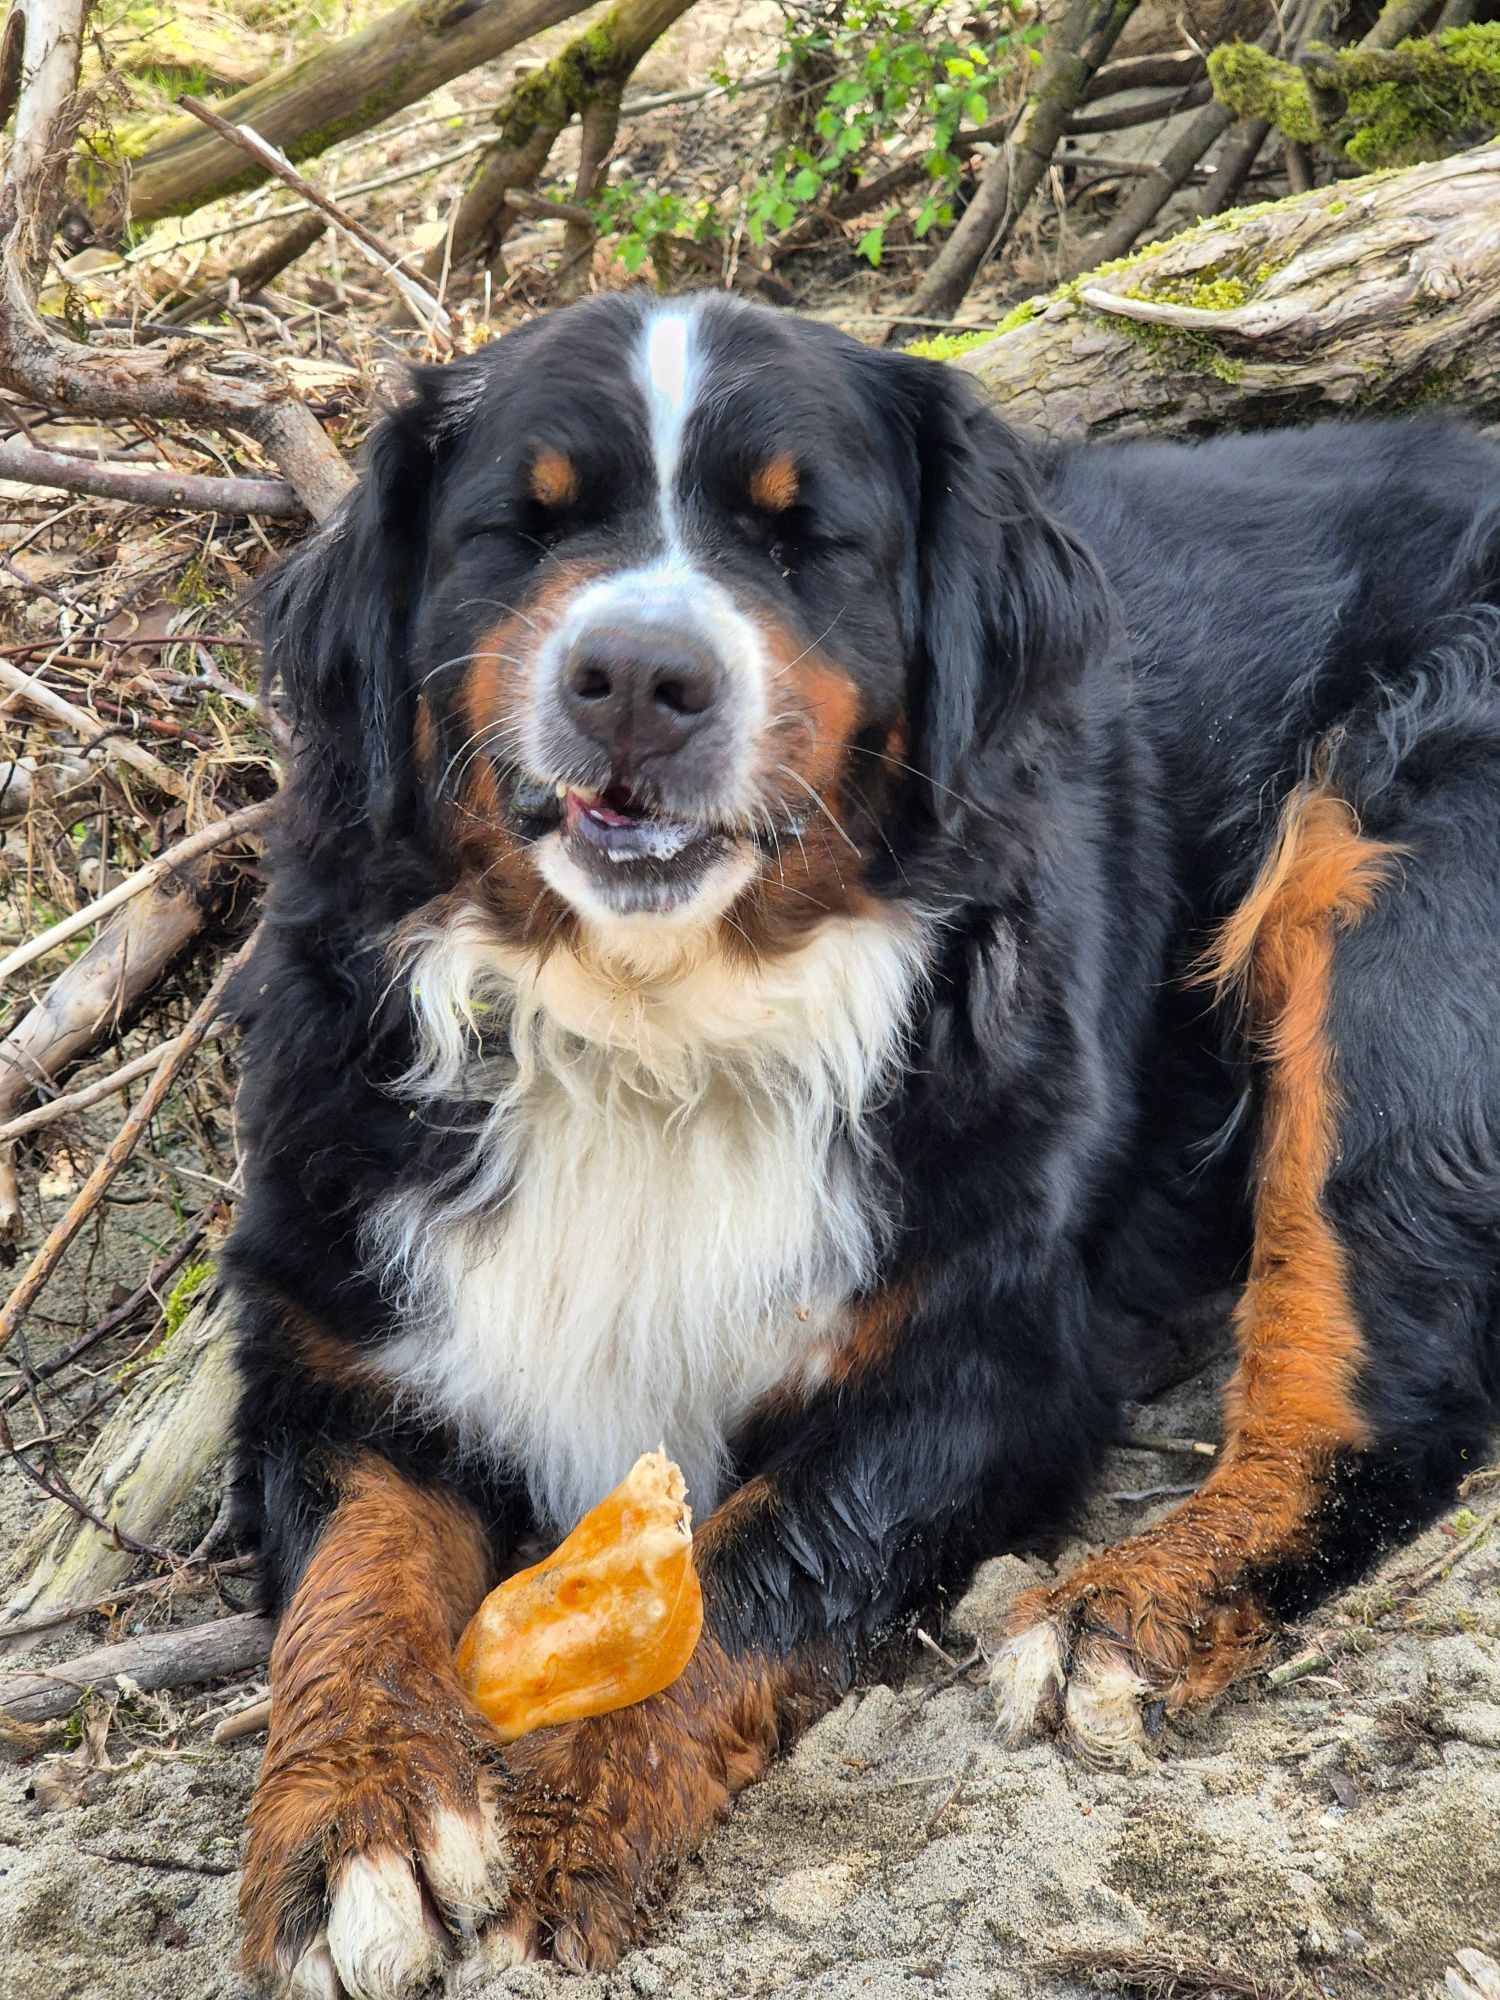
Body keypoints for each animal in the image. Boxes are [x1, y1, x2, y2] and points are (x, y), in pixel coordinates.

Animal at [225, 292, 1500, 1998]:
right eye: (526, 523)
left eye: (800, 538)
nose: (638, 675)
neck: (655, 1028)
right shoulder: (336, 1326)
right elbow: (352, 1585)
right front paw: (354, 1828)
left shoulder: (977, 1360)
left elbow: (744, 1573)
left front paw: (561, 1832)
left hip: (1377, 876)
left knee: (1377, 1392)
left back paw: (1122, 1612)